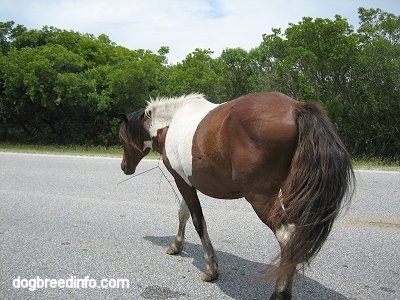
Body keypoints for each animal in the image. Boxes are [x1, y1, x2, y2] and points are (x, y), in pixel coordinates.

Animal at [118, 92, 354, 298]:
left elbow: (197, 221)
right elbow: (183, 213)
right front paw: (176, 245)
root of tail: (296, 107)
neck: (171, 122)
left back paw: (280, 292)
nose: (124, 168)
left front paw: (211, 268)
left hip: (260, 198)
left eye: (123, 139)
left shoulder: (182, 181)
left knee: (288, 237)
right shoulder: (186, 181)